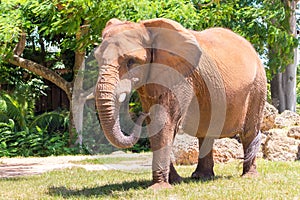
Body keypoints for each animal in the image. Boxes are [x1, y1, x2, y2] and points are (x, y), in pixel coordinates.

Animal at [94, 17, 268, 189]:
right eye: (98, 59)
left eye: (131, 61)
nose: (140, 115)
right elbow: (156, 123)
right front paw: (175, 181)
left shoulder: (180, 76)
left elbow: (164, 120)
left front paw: (160, 187)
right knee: (206, 132)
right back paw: (201, 177)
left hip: (258, 85)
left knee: (249, 131)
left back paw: (249, 176)